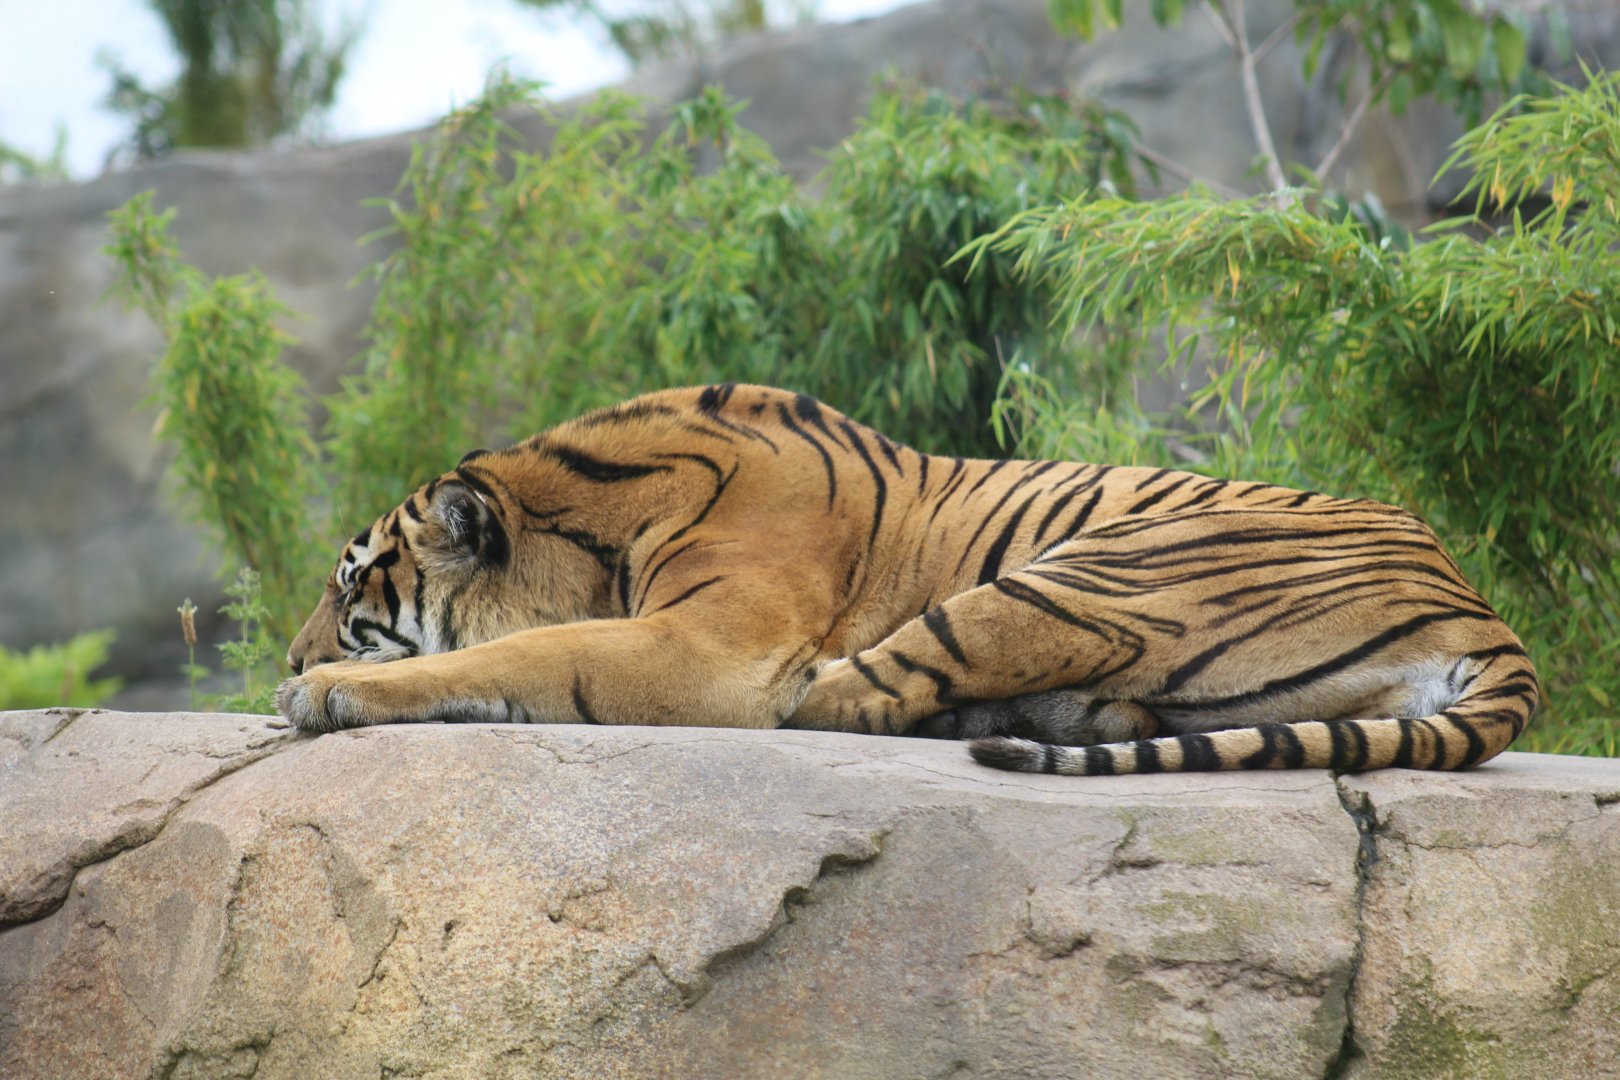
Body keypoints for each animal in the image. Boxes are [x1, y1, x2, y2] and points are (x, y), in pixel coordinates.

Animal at [278, 383, 1538, 776]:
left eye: (351, 593)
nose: (290, 653)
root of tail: (1479, 604)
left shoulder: (714, 647)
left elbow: (528, 652)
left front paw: (326, 694)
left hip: (1086, 571)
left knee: (845, 697)